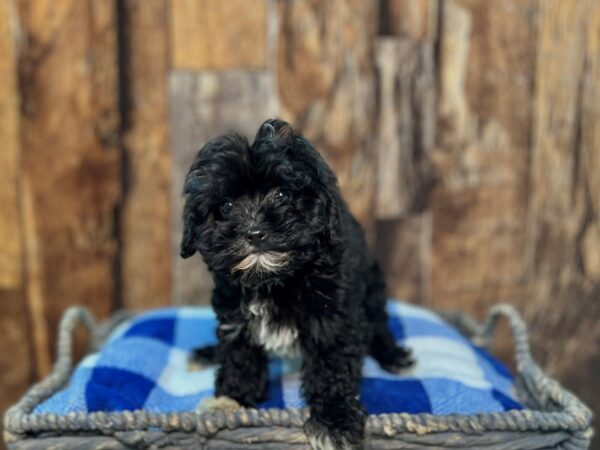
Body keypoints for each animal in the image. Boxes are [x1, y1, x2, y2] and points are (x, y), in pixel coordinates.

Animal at [178, 118, 412, 448]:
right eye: (225, 205)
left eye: (281, 195)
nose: (254, 232)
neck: (276, 279)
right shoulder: (234, 314)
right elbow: (239, 356)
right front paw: (230, 401)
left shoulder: (334, 317)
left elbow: (331, 366)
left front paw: (335, 420)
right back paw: (205, 353)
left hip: (373, 289)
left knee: (378, 326)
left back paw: (393, 355)